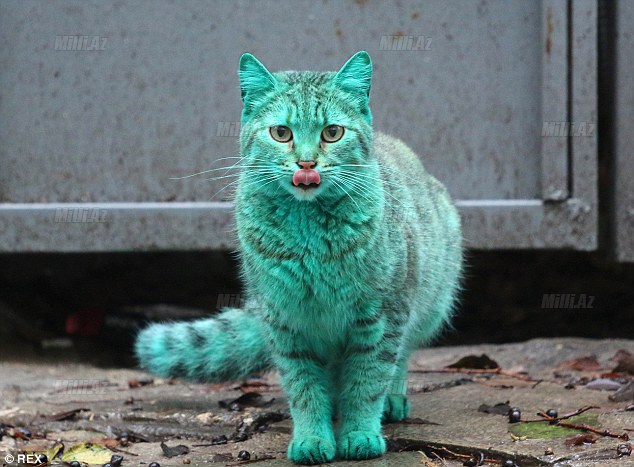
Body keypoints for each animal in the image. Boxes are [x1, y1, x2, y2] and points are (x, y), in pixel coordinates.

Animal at [136, 51, 462, 464]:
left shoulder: (382, 317)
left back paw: (392, 400)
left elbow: (368, 381)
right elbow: (304, 388)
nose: (306, 163)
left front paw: (360, 433)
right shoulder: (287, 323)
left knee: (399, 359)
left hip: (429, 304)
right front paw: (312, 438)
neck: (310, 236)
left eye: (332, 132)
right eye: (281, 133)